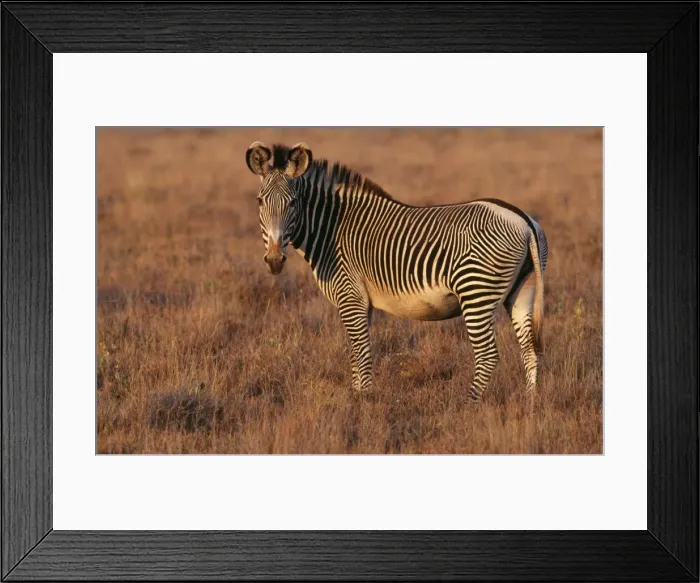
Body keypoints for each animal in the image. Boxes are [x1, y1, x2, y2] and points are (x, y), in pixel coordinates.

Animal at [245, 141, 549, 402]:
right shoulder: (361, 303)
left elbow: (361, 354)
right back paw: (530, 405)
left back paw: (468, 405)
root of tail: (522, 220)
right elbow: (356, 356)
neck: (331, 229)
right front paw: (358, 396)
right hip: (522, 290)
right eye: (259, 201)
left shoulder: (350, 296)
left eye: (293, 202)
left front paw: (363, 404)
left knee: (487, 355)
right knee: (530, 349)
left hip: (477, 291)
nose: (274, 260)